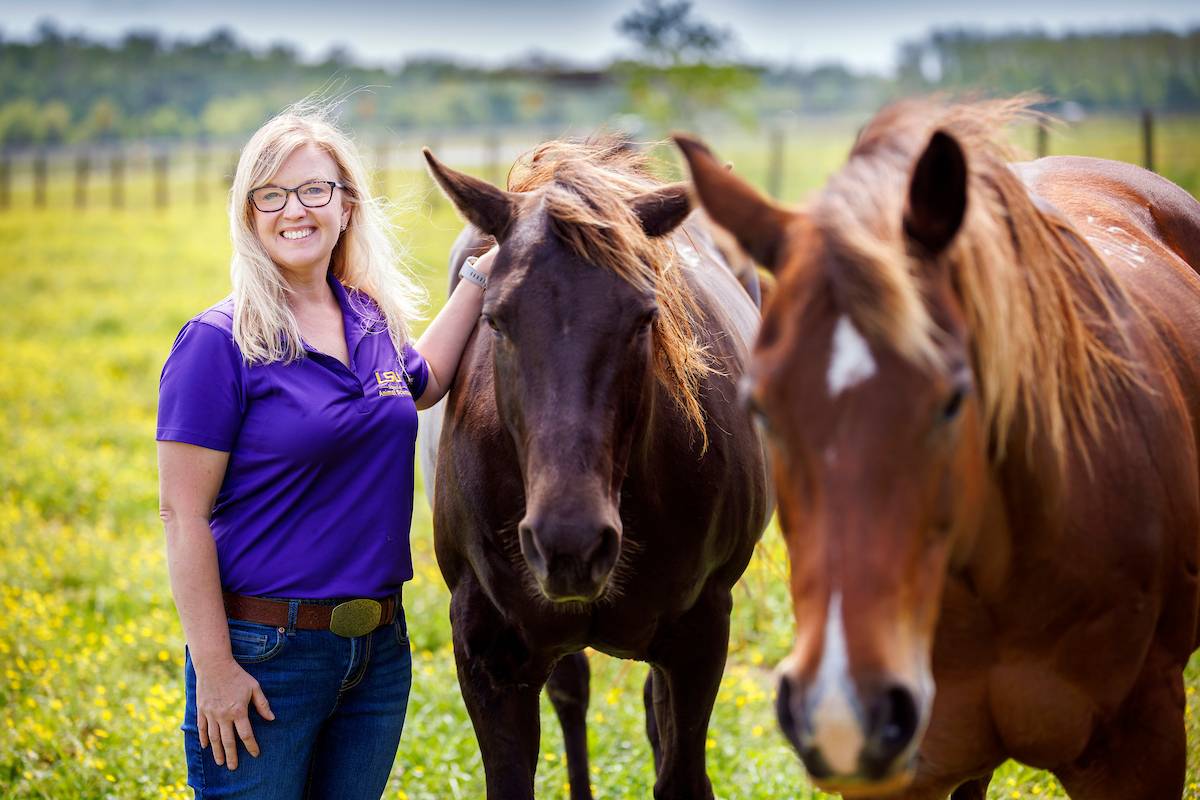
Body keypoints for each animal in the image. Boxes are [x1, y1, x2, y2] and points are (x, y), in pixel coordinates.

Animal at [418, 136, 772, 799]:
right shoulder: (485, 649)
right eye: (495, 319)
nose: (571, 543)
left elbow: (681, 774)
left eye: (645, 317)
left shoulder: (701, 634)